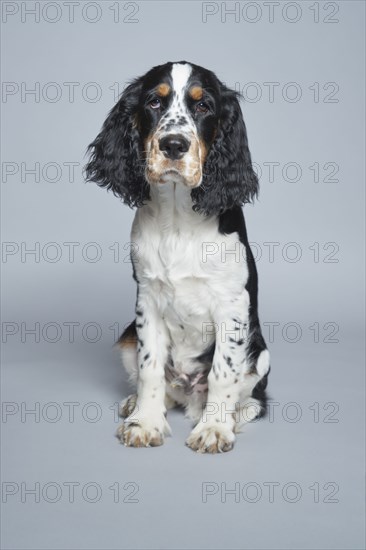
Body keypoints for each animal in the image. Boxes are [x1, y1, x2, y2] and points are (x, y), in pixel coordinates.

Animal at [85, 61, 268, 458]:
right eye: (154, 102)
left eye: (204, 107)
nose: (173, 144)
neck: (178, 216)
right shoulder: (147, 299)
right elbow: (150, 367)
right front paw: (144, 422)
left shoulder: (232, 304)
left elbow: (223, 371)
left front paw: (214, 429)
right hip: (127, 337)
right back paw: (135, 404)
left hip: (260, 353)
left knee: (253, 397)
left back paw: (232, 414)